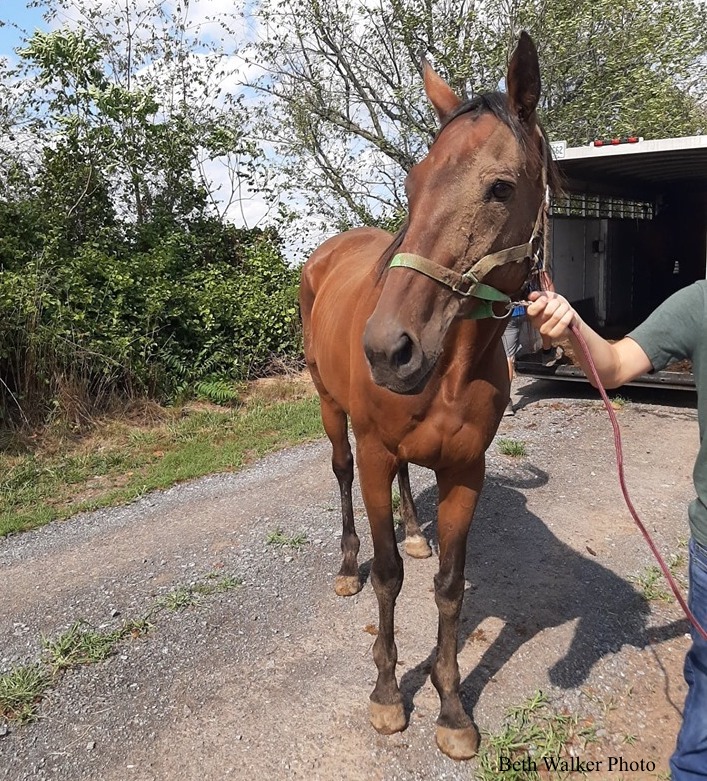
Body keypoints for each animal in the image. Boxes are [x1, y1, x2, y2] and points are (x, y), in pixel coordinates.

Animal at [298, 33, 552, 760]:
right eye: (412, 184)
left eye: (500, 187)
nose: (388, 350)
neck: (452, 368)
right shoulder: (376, 450)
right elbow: (389, 578)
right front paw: (388, 694)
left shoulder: (466, 470)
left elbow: (448, 588)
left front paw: (451, 706)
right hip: (332, 412)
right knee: (342, 474)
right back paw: (347, 564)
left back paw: (415, 532)